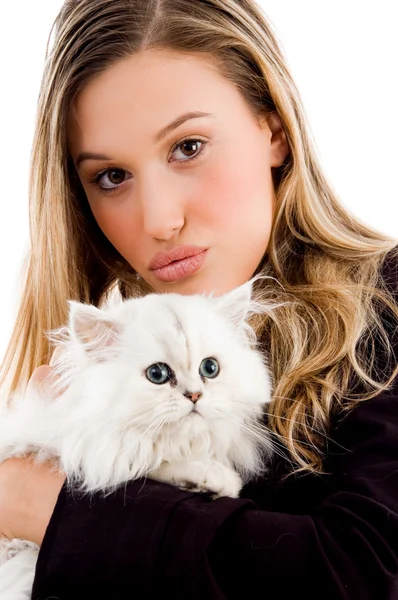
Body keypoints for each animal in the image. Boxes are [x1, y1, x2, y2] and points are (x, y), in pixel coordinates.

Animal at [0, 278, 276, 596]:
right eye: (157, 374)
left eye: (210, 368)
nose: (195, 395)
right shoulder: (83, 448)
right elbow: (144, 462)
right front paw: (213, 478)